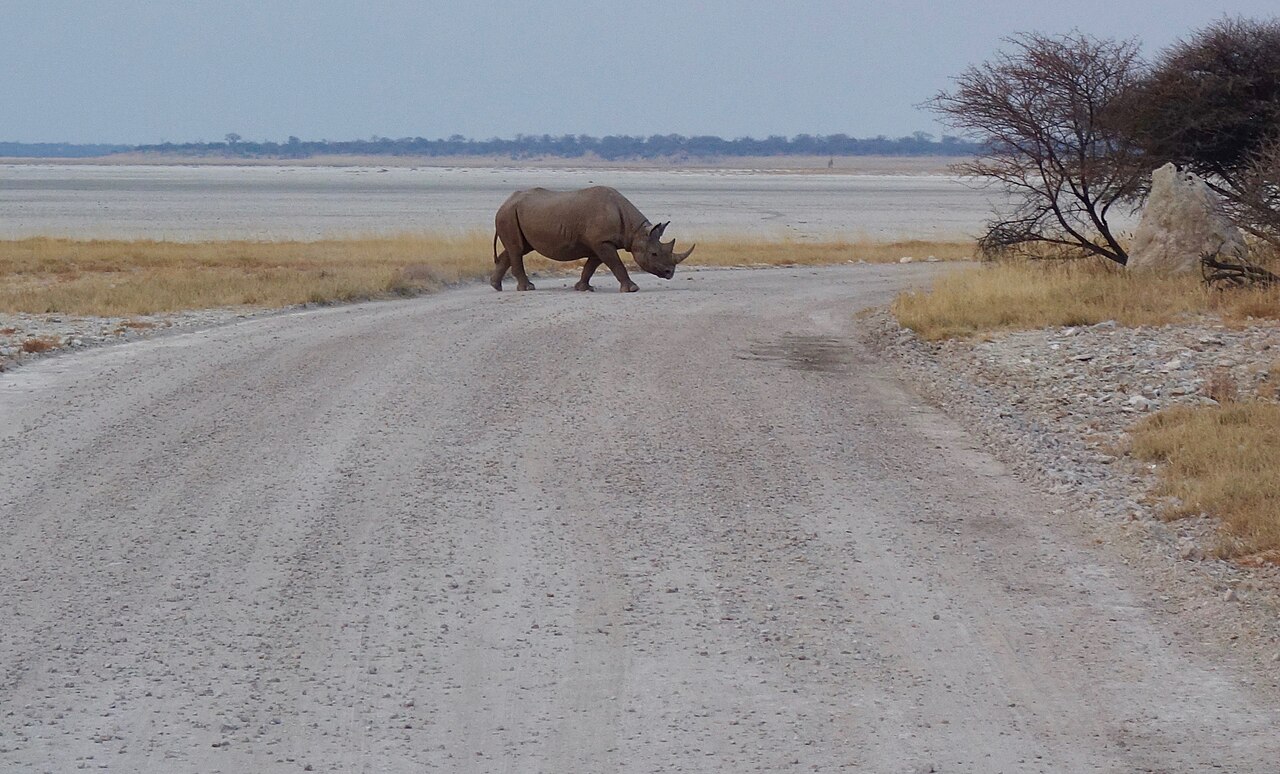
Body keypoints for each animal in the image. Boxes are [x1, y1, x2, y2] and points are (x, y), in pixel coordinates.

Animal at [491, 186, 694, 292]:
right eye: (654, 254)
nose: (669, 273)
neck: (635, 231)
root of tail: (505, 202)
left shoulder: (599, 243)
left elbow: (591, 266)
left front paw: (583, 288)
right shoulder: (602, 242)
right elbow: (616, 264)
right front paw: (632, 289)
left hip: (515, 213)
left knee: (517, 248)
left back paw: (496, 286)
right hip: (508, 214)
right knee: (517, 249)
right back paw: (527, 288)